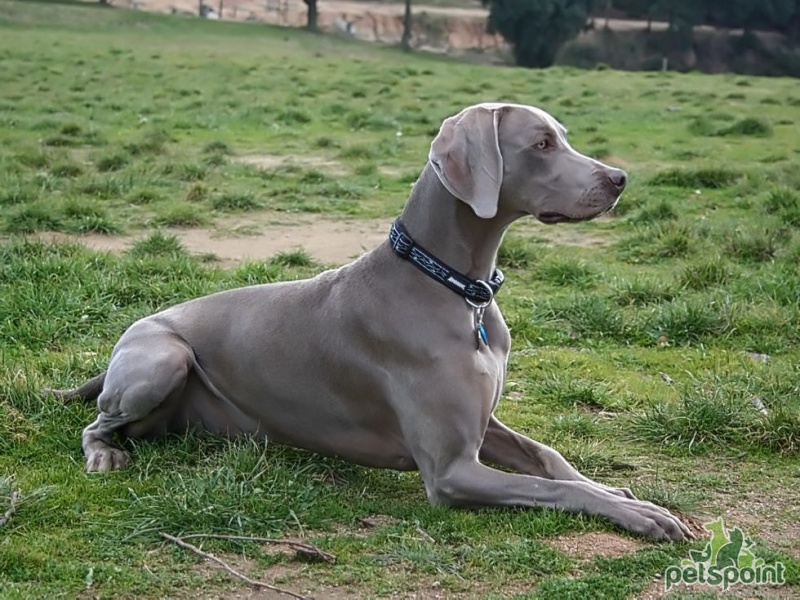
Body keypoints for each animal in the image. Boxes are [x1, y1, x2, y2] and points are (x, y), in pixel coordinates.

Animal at [57, 104, 692, 544]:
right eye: (541, 143)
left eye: (562, 134)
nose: (619, 178)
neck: (458, 290)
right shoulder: (452, 470)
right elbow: (548, 486)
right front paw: (640, 515)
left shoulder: (484, 425)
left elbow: (552, 461)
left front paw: (620, 491)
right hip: (163, 358)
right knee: (95, 424)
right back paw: (104, 456)